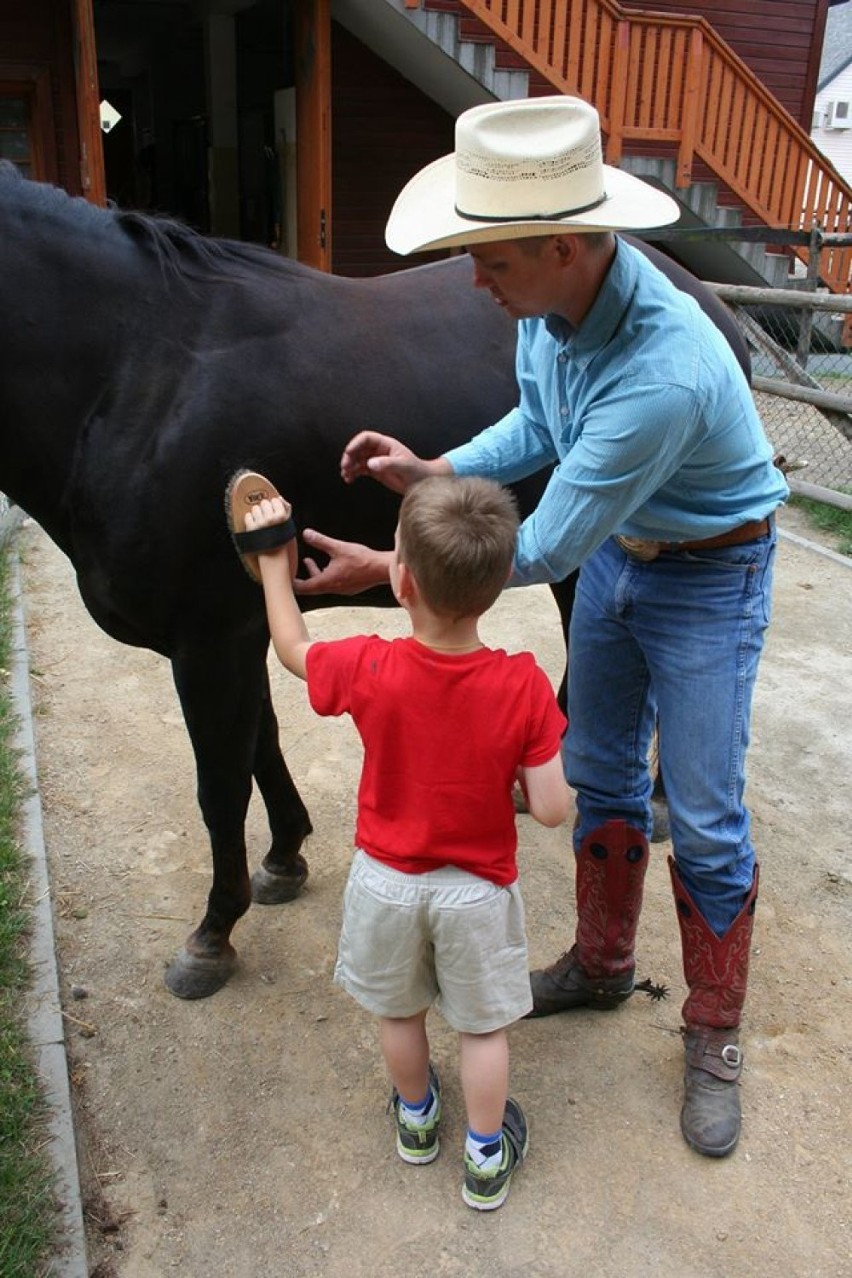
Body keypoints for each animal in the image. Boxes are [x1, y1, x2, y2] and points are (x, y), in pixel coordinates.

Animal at [0, 159, 745, 996]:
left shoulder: (207, 640)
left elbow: (220, 784)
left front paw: (212, 935)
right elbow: (261, 743)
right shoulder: (240, 624)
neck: (140, 377)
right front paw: (284, 857)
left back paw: (656, 802)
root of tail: (709, 306)